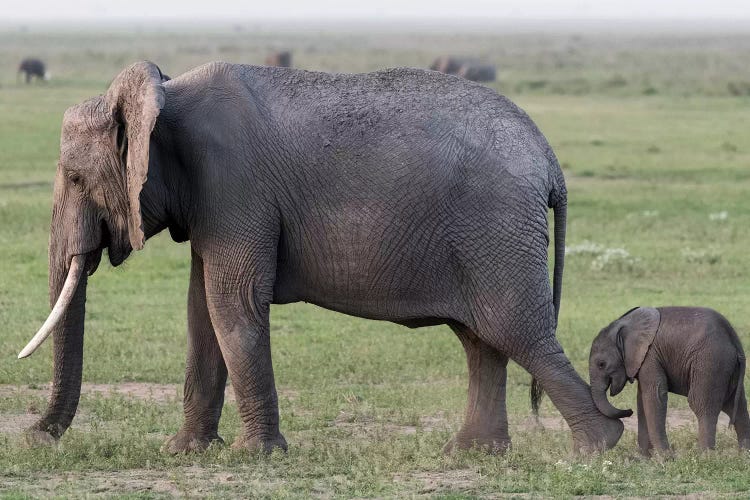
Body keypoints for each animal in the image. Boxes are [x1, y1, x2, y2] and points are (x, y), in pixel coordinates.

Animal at [19, 59, 628, 458]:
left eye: (76, 178)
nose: (35, 436)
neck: (164, 93)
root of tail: (549, 160)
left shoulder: (236, 187)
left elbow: (232, 305)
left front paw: (252, 457)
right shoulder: (213, 201)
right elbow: (202, 313)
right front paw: (185, 452)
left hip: (496, 228)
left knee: (515, 331)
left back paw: (596, 449)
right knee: (482, 340)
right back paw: (472, 454)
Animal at [592, 306, 748, 456]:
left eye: (601, 364)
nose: (629, 411)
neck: (624, 325)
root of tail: (733, 339)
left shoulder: (650, 356)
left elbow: (655, 396)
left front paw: (666, 459)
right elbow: (642, 400)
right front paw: (644, 459)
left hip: (711, 361)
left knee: (702, 405)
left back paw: (705, 457)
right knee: (737, 407)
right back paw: (744, 456)